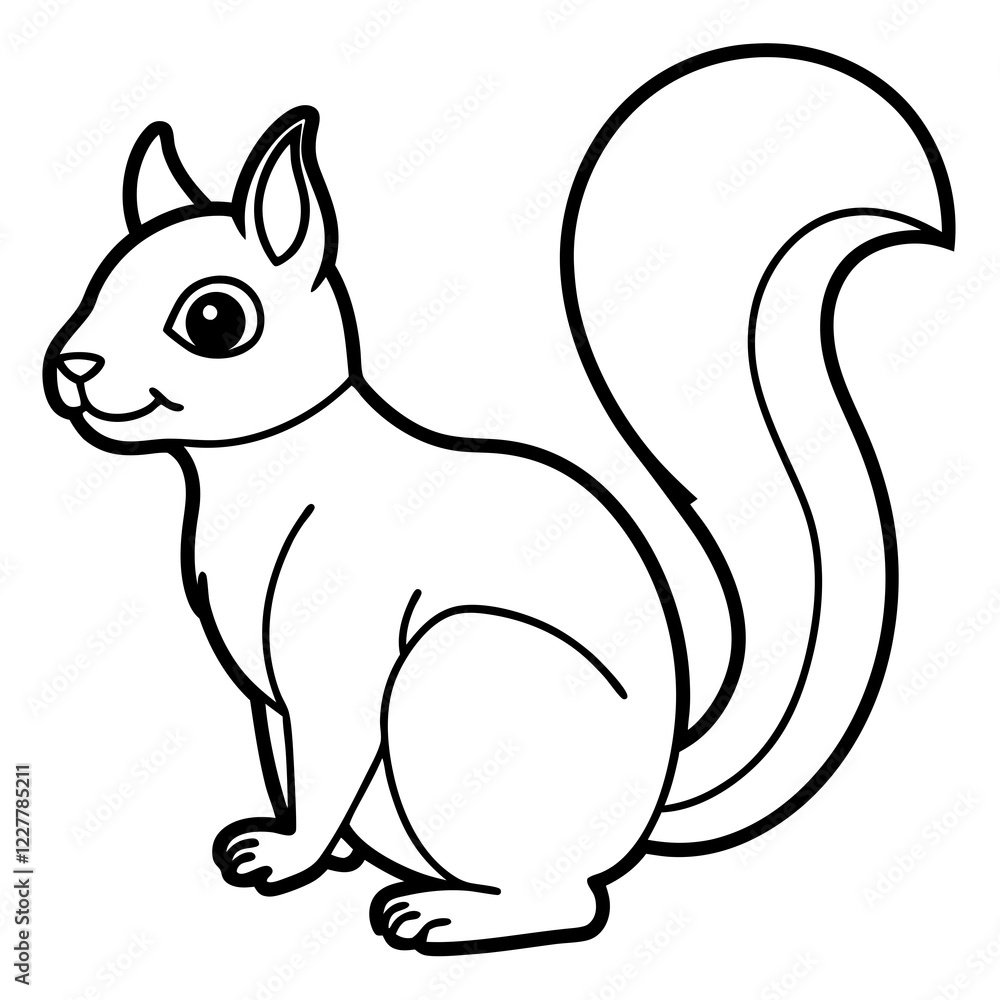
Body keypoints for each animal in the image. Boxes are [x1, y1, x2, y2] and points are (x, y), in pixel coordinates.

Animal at [43, 44, 953, 955]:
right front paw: (310, 849)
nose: (71, 365)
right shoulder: (266, 697)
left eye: (215, 319)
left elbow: (328, 759)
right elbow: (294, 767)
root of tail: (654, 799)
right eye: (101, 281)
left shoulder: (338, 661)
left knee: (571, 902)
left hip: (458, 672)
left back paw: (444, 913)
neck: (258, 473)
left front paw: (288, 856)